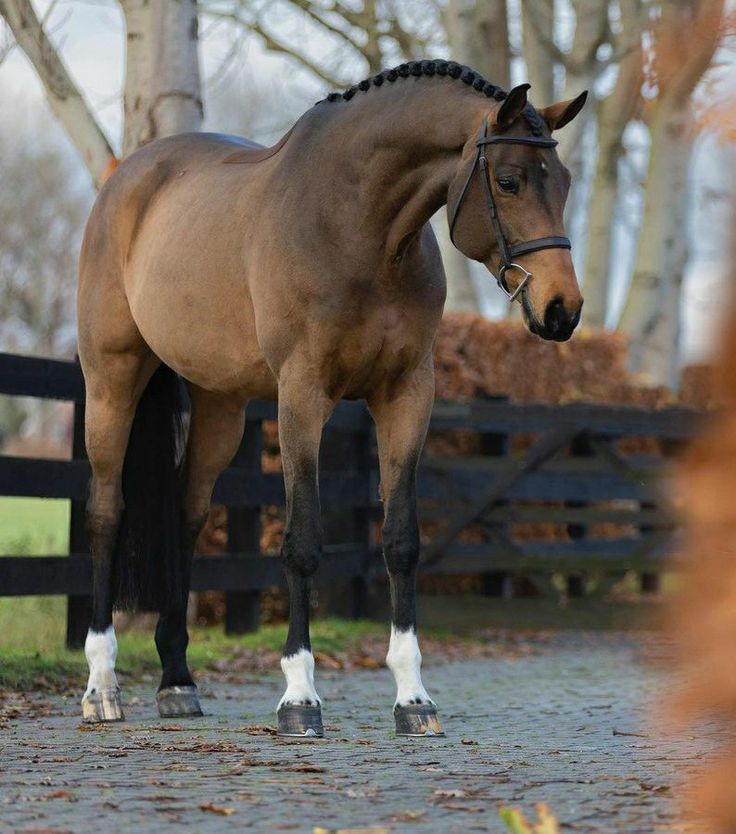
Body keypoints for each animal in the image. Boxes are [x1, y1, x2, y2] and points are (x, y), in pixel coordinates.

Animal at [77, 60, 588, 736]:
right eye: (508, 181)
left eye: (564, 182)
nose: (562, 309)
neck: (356, 227)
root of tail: (125, 179)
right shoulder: (302, 394)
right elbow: (302, 542)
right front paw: (299, 697)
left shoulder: (406, 395)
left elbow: (400, 540)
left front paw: (413, 698)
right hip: (112, 381)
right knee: (106, 513)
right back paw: (102, 686)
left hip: (219, 405)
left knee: (185, 518)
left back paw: (178, 681)